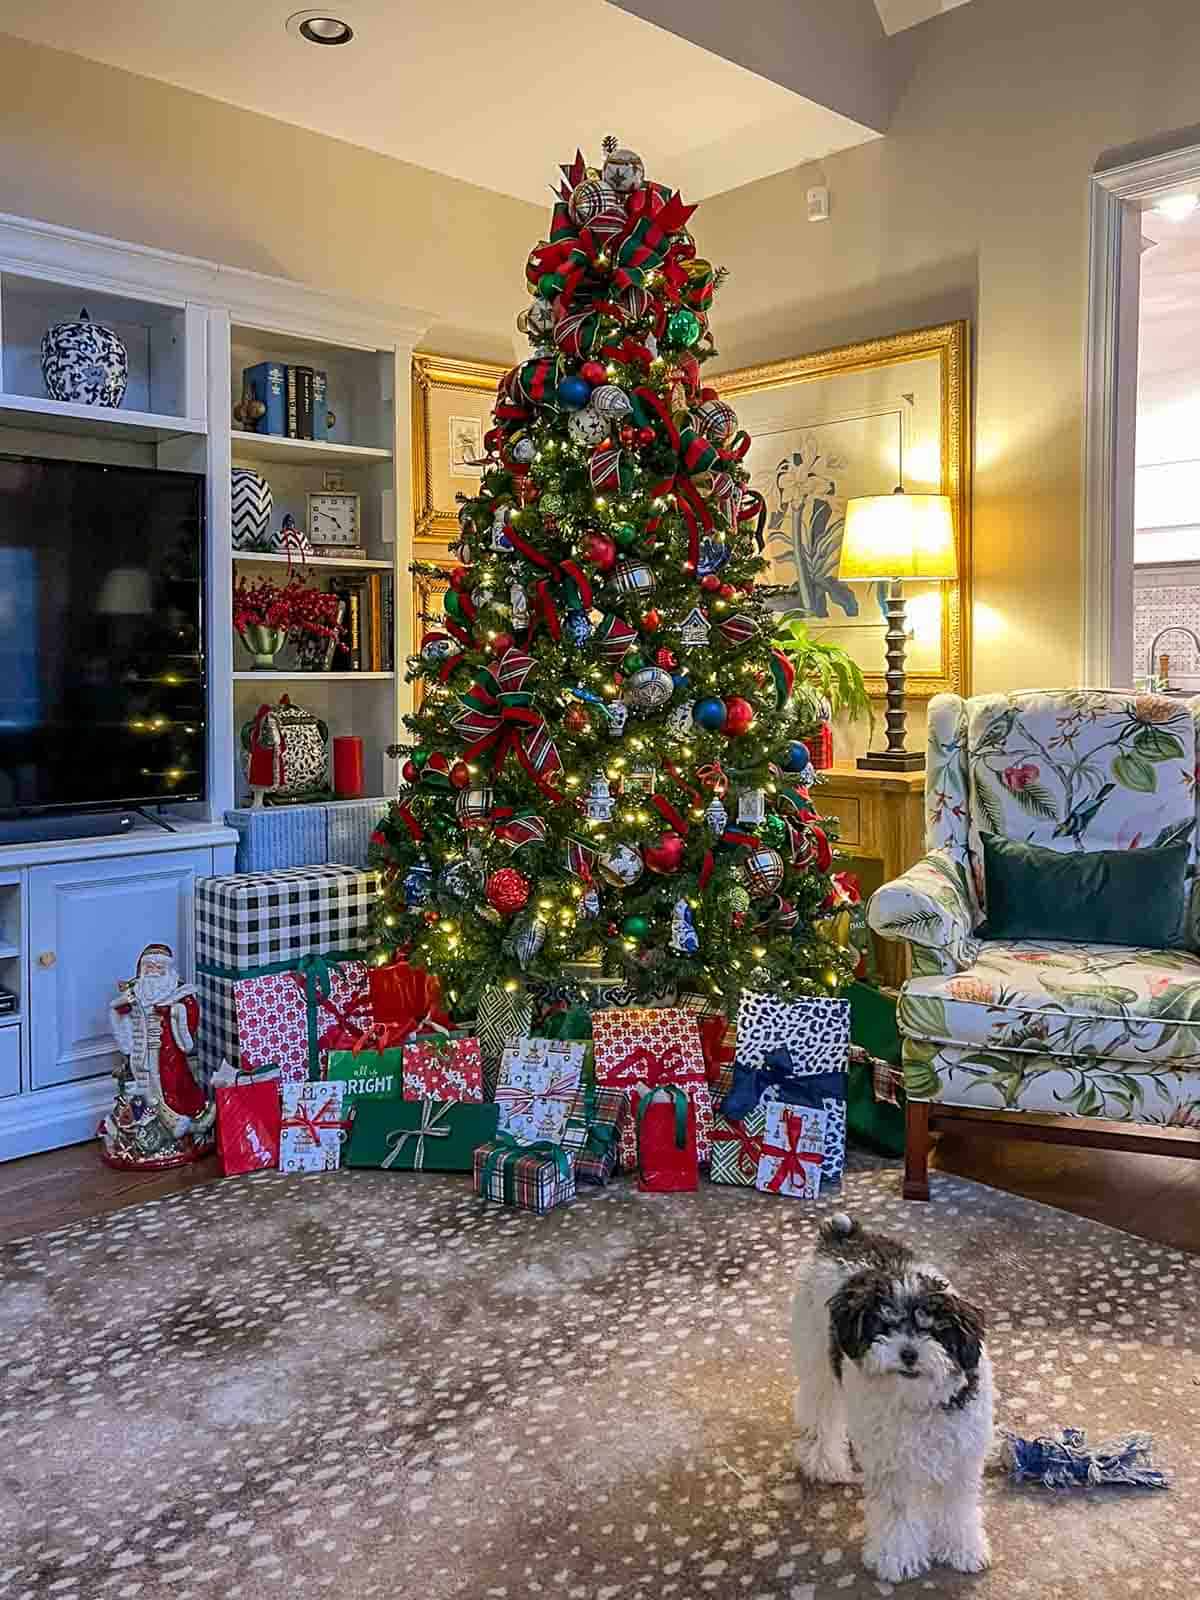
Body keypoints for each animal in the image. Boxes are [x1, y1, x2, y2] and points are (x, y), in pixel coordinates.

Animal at [790, 1216, 998, 1580]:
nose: (909, 1353)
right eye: (885, 1325)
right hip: (817, 1358)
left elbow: (957, 1508)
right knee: (819, 1410)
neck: (918, 1402)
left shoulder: (961, 1458)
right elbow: (897, 1513)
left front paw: (962, 1548)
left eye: (933, 1329)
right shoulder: (892, 1466)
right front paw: (898, 1557)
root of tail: (843, 1234)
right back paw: (825, 1461)